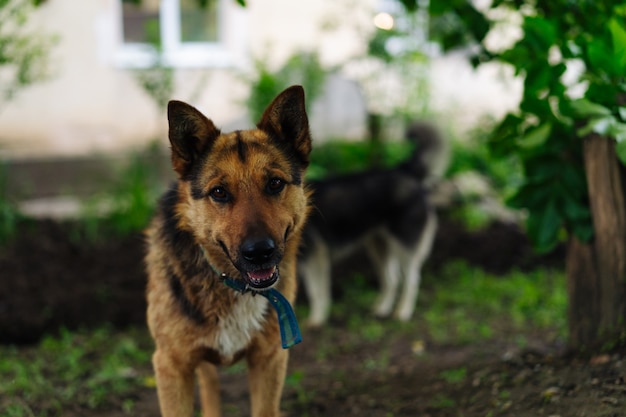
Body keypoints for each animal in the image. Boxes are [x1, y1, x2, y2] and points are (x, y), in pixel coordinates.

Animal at [146, 85, 312, 416]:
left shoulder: (269, 360)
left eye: (275, 183)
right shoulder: (171, 365)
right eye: (219, 192)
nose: (259, 252)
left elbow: (264, 410)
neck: (234, 284)